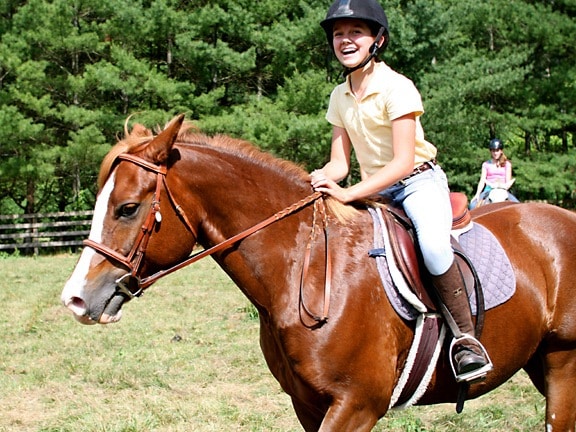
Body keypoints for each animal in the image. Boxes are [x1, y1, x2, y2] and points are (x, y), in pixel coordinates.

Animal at [62, 115, 576, 432]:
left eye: (128, 208)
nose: (76, 298)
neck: (303, 270)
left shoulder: (356, 406)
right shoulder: (308, 405)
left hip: (563, 359)